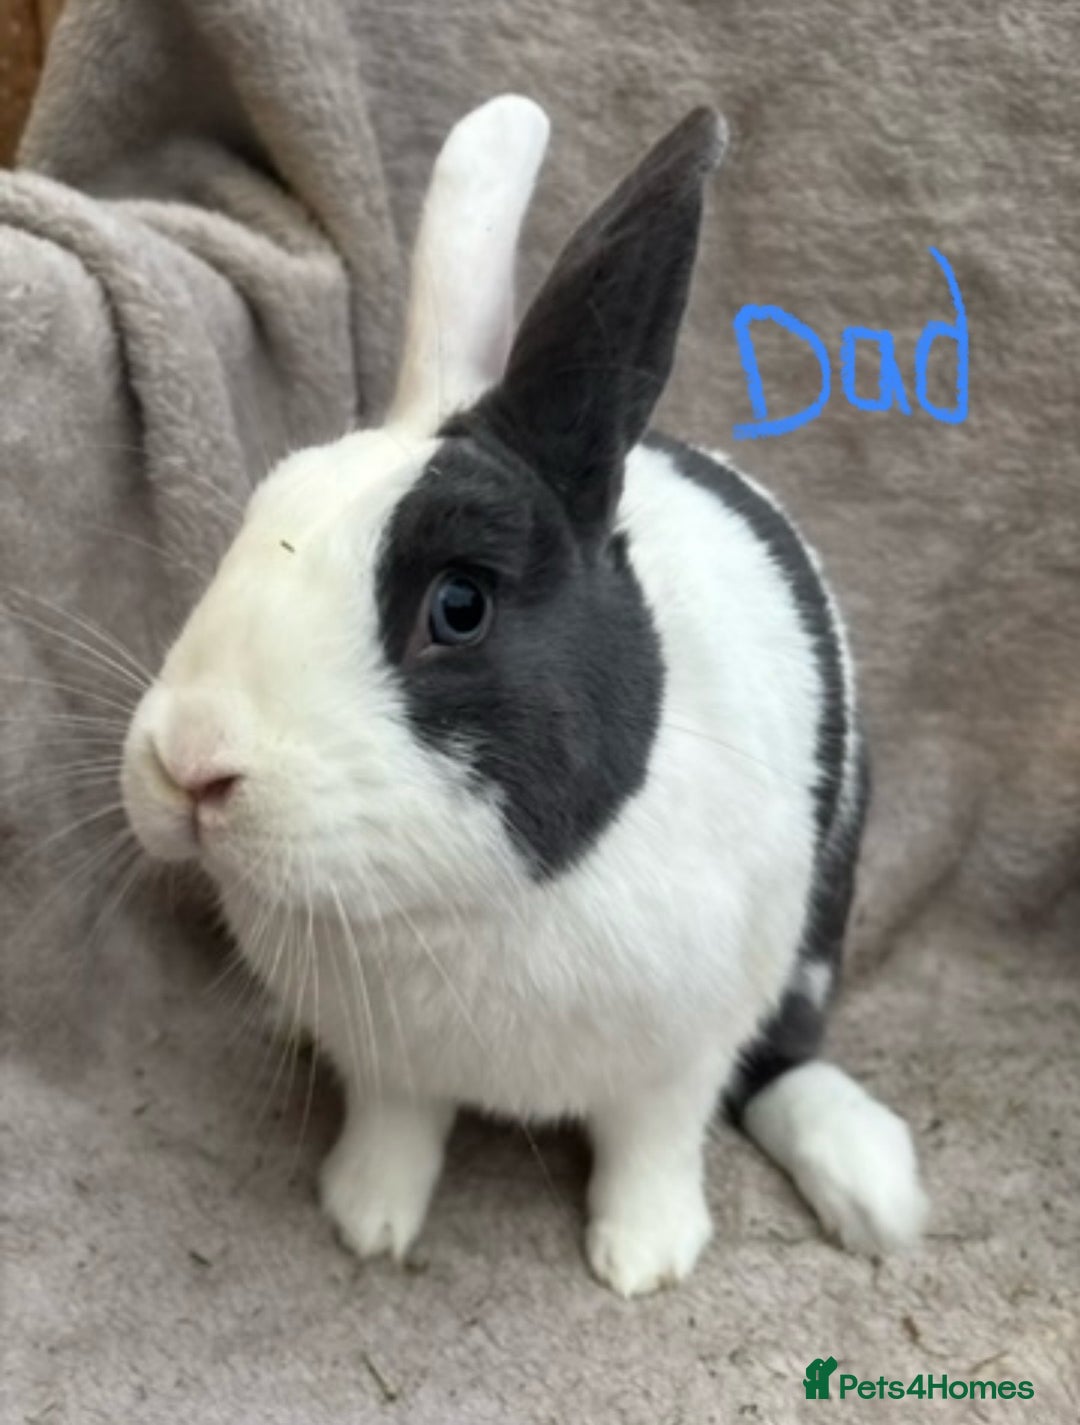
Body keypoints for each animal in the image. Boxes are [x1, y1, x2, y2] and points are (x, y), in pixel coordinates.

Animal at [121, 95, 927, 1297]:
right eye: (261, 514)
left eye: (459, 605)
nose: (188, 765)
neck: (459, 905)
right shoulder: (391, 1067)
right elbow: (396, 1127)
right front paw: (366, 1219)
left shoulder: (682, 1053)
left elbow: (657, 1140)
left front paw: (645, 1260)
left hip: (822, 916)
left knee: (786, 1055)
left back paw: (872, 1188)